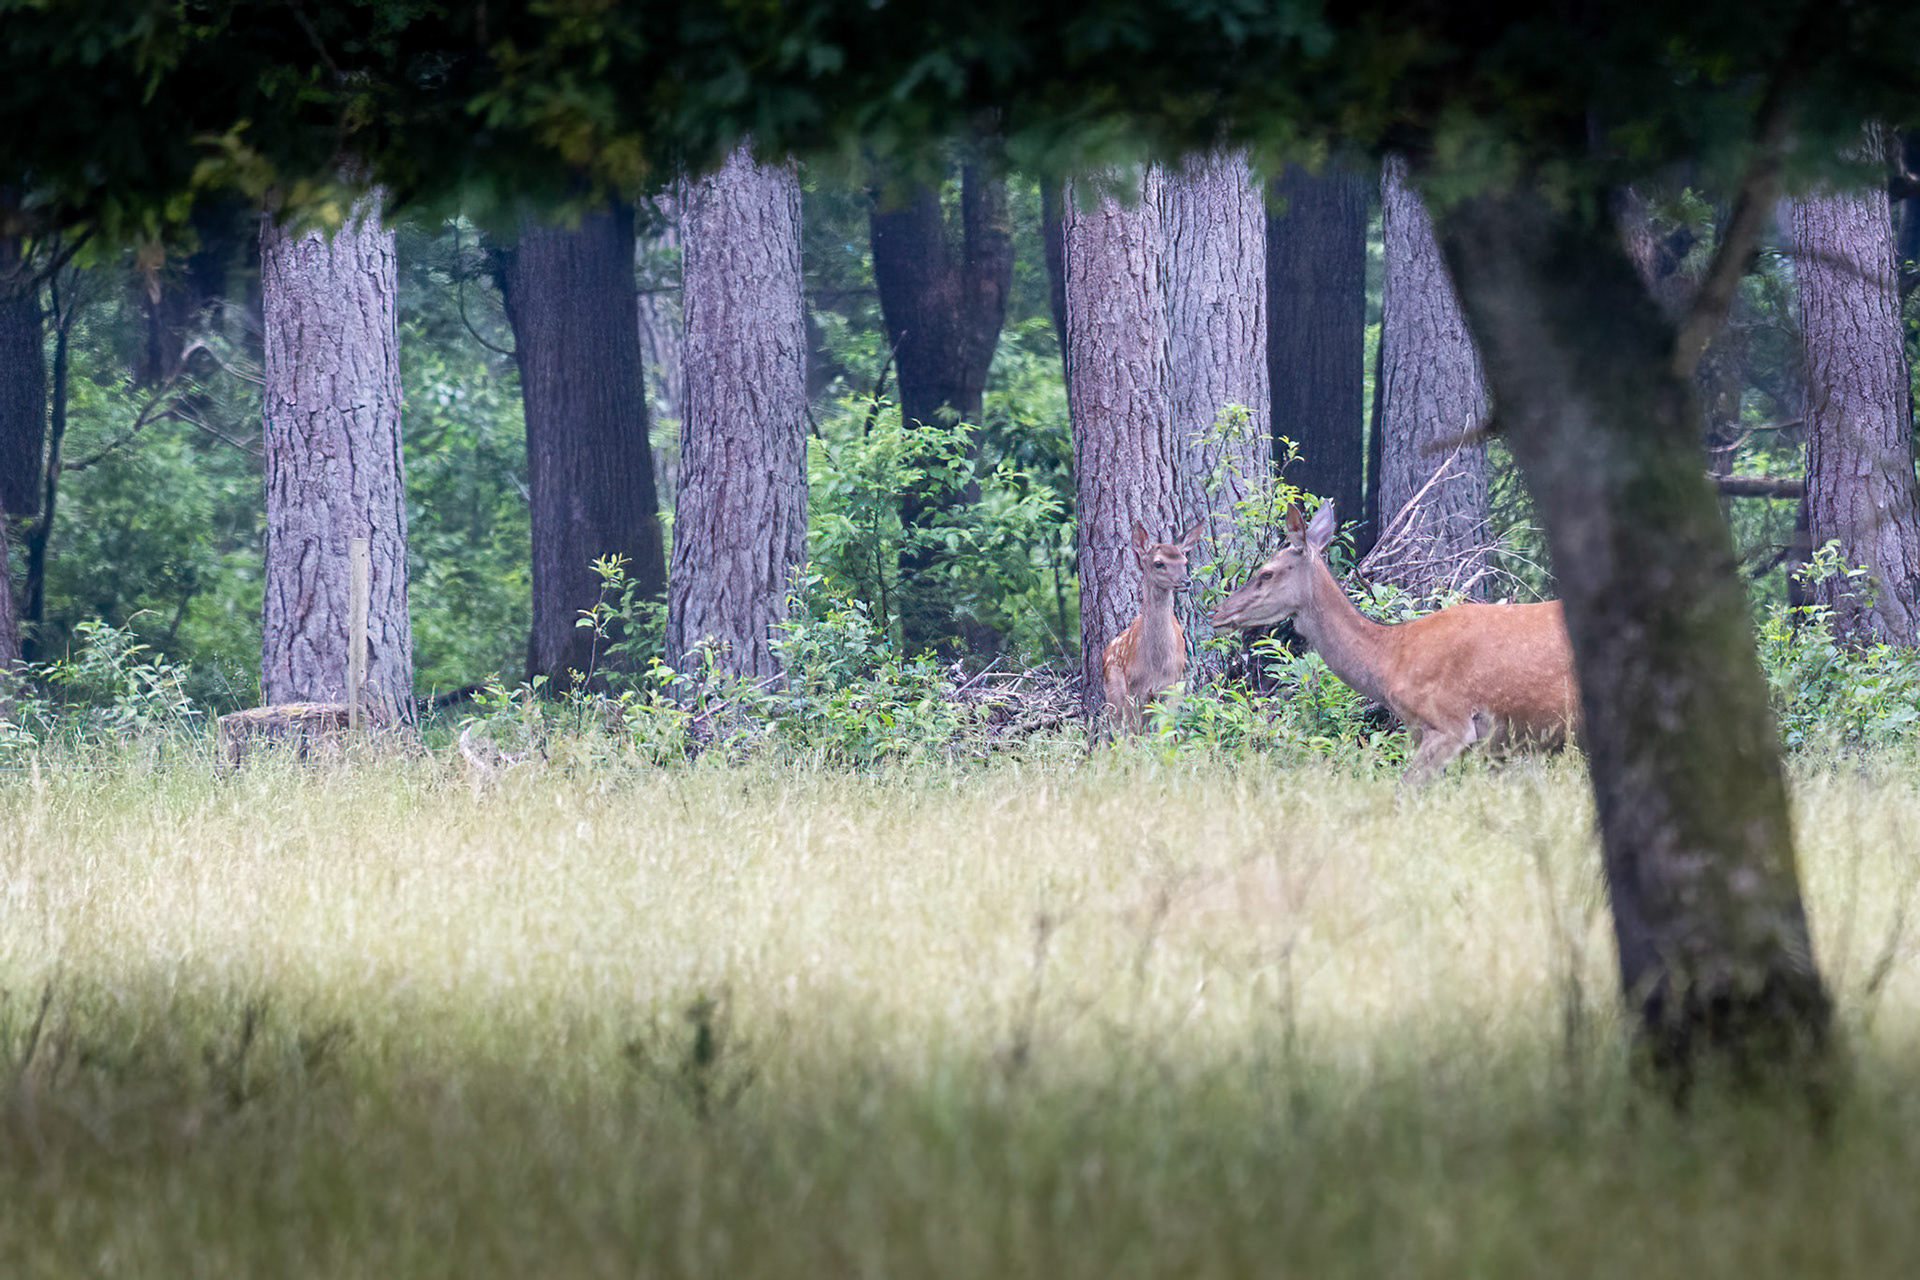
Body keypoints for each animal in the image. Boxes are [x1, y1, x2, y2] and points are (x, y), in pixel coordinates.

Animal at [1101, 521, 1206, 736]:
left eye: (1184, 561)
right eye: (1159, 563)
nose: (1186, 581)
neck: (1156, 666)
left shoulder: (1171, 686)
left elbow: (1165, 730)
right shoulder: (1134, 688)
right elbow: (1133, 733)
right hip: (1113, 689)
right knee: (1117, 728)